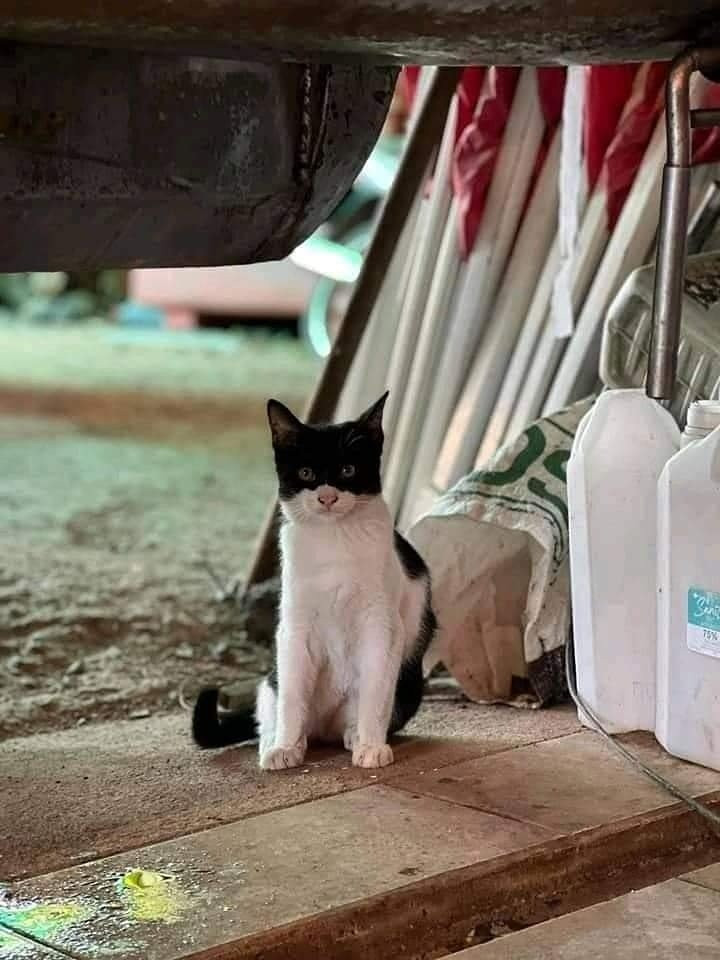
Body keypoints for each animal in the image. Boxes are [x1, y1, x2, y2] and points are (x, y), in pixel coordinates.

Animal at [191, 394, 436, 768]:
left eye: (348, 470)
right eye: (306, 473)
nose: (327, 497)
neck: (332, 540)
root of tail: (323, 727)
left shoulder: (381, 622)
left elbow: (376, 690)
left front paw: (371, 745)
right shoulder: (294, 625)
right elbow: (292, 696)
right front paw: (285, 747)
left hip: (408, 687)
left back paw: (354, 735)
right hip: (270, 680)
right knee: (272, 712)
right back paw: (279, 743)